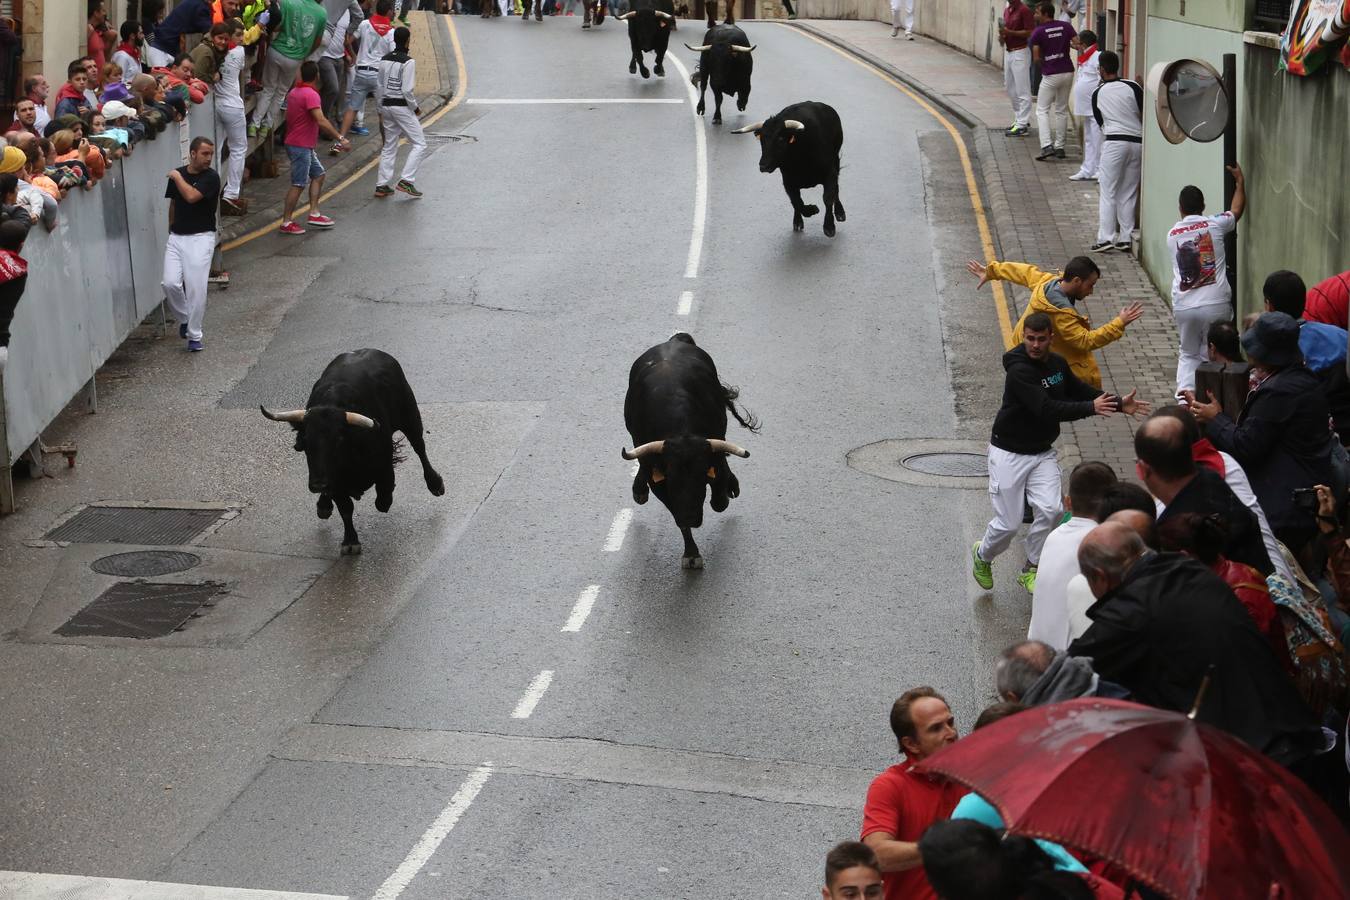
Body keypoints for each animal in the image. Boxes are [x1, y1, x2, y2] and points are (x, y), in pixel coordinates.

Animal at [263, 350, 448, 555]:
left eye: (338, 440)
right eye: (306, 441)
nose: (318, 484)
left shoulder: (383, 464)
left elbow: (383, 496)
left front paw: (385, 501)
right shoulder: (335, 483)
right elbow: (346, 509)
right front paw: (350, 540)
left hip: (410, 418)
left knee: (419, 448)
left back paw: (435, 483)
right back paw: (324, 505)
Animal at [623, 330, 761, 569]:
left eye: (700, 475)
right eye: (673, 478)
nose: (690, 517)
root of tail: (674, 341)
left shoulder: (713, 450)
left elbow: (718, 494)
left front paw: (724, 494)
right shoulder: (660, 481)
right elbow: (676, 514)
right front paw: (691, 553)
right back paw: (639, 489)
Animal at [739, 100, 842, 237]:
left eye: (781, 138)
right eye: (762, 139)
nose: (763, 165)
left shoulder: (830, 173)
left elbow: (828, 197)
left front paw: (829, 227)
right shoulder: (788, 181)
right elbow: (796, 201)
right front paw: (811, 210)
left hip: (836, 161)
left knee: (836, 189)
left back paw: (840, 213)